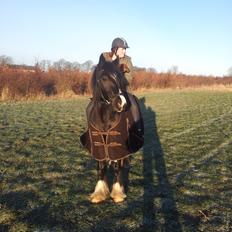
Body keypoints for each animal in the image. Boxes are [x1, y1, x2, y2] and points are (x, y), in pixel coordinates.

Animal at [80, 61, 144, 203]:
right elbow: (101, 166)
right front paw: (99, 193)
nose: (122, 104)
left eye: (120, 78)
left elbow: (117, 166)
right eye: (104, 78)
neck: (105, 116)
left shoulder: (118, 142)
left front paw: (117, 192)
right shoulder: (98, 142)